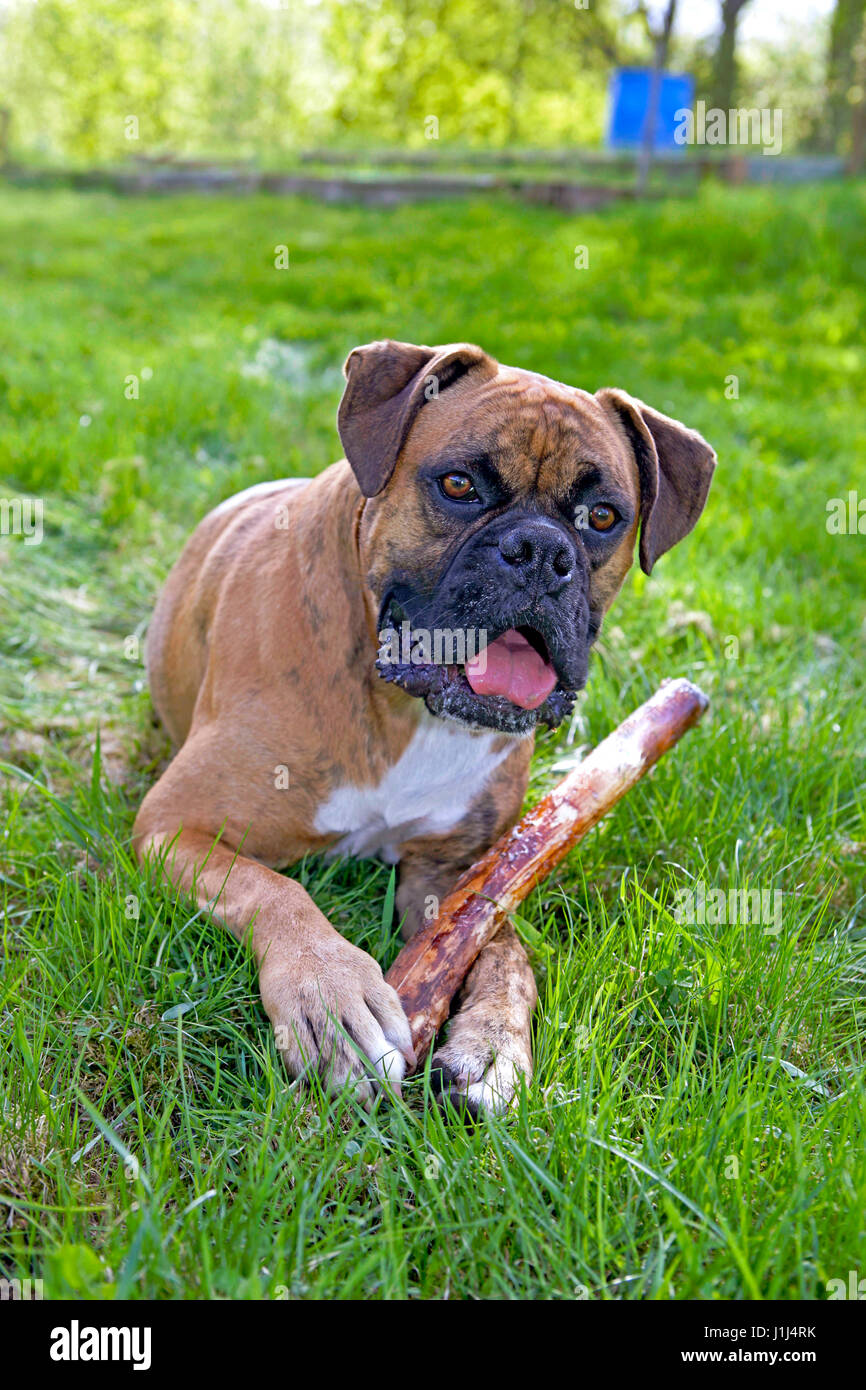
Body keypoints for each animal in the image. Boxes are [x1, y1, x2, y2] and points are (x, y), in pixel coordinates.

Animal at [134, 344, 717, 1117]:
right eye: (458, 483)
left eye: (601, 517)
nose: (540, 551)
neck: (404, 709)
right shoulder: (174, 825)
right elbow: (275, 890)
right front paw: (330, 995)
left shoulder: (450, 876)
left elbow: (504, 948)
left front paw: (493, 1046)